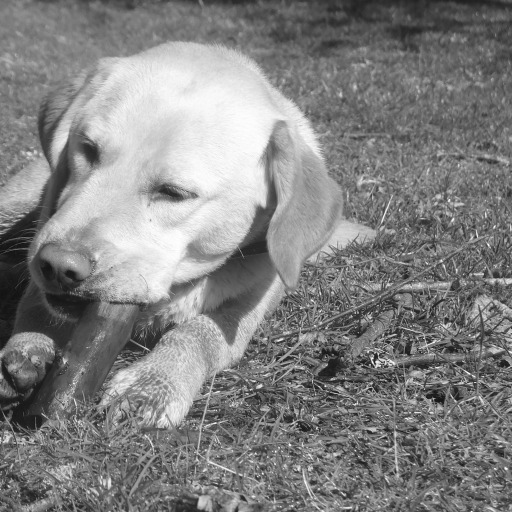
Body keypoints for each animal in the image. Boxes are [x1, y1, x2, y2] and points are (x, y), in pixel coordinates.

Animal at [0, 43, 376, 428]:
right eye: (88, 149)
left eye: (174, 192)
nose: (58, 266)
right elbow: (35, 305)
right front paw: (29, 344)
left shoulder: (253, 302)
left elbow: (199, 332)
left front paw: (154, 382)